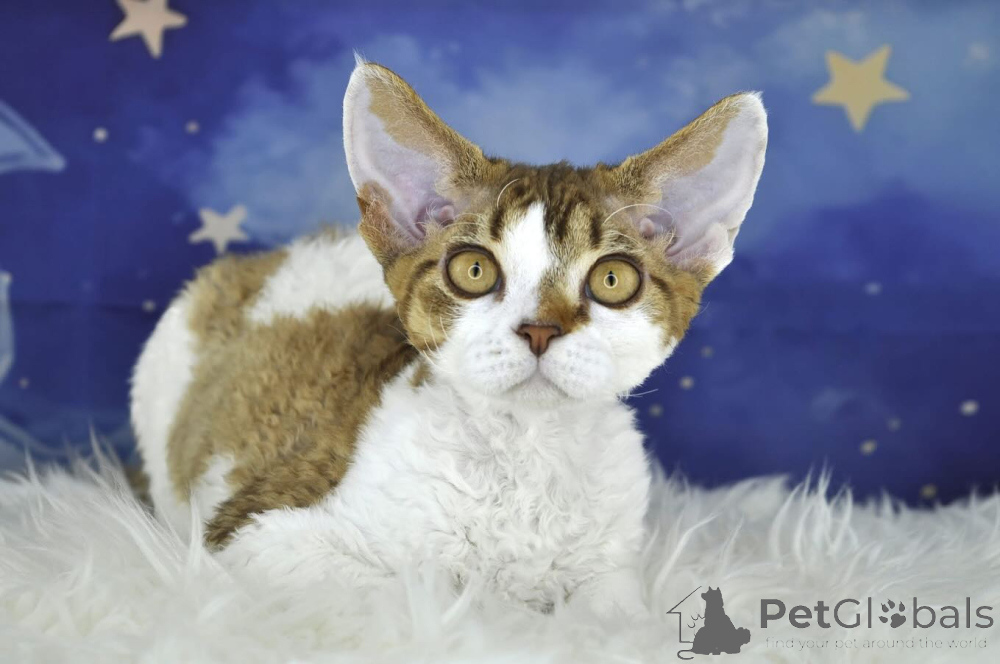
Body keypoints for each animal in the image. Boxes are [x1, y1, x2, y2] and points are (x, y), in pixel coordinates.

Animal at [130, 58, 767, 616]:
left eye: (613, 280)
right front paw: (483, 613)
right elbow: (421, 591)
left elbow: (616, 616)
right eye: (474, 271)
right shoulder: (253, 531)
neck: (527, 456)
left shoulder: (611, 567)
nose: (539, 330)